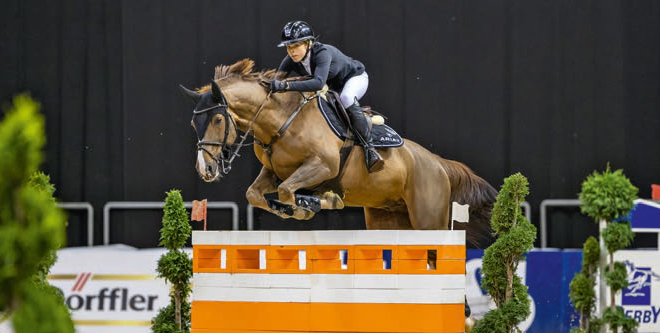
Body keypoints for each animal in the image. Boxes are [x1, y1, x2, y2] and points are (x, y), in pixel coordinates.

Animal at [178, 58, 498, 248]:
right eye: (194, 123)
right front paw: (296, 206)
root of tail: (439, 164)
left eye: (217, 120)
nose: (205, 170)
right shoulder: (272, 171)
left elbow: (286, 190)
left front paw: (311, 204)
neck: (281, 121)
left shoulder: (323, 166)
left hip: (428, 218)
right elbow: (256, 194)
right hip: (387, 219)